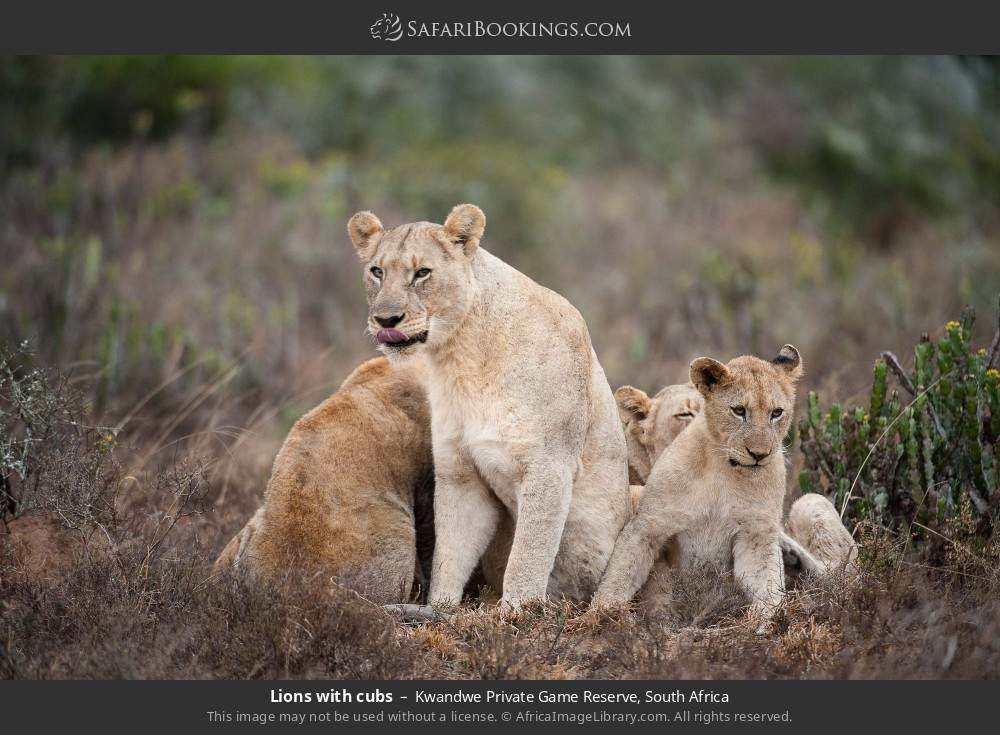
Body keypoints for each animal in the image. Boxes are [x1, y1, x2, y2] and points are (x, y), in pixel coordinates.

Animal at [347, 204, 631, 609]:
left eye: (422, 273)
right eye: (377, 271)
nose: (386, 319)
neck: (462, 354)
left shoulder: (550, 465)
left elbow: (529, 553)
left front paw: (516, 610)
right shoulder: (460, 469)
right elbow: (451, 551)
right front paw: (440, 609)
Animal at [595, 345, 805, 628]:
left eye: (777, 413)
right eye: (739, 410)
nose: (760, 454)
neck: (724, 469)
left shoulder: (756, 534)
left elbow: (766, 583)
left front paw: (764, 621)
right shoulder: (649, 524)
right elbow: (622, 570)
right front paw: (598, 616)